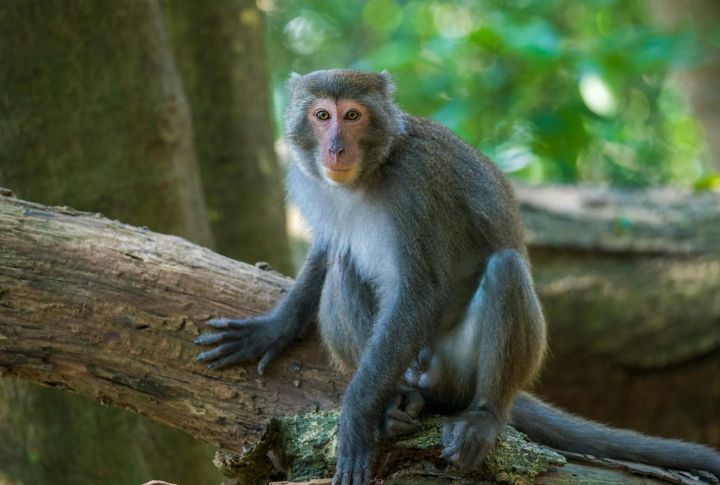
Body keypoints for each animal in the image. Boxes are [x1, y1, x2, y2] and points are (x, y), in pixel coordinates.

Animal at [194, 69, 720, 485]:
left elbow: (420, 291)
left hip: (456, 369)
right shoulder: (310, 182)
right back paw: (399, 398)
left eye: (353, 116)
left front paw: (358, 415)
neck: (370, 174)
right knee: (345, 264)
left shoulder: (415, 188)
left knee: (505, 270)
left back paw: (481, 415)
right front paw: (273, 329)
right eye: (321, 116)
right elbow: (327, 251)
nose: (336, 147)